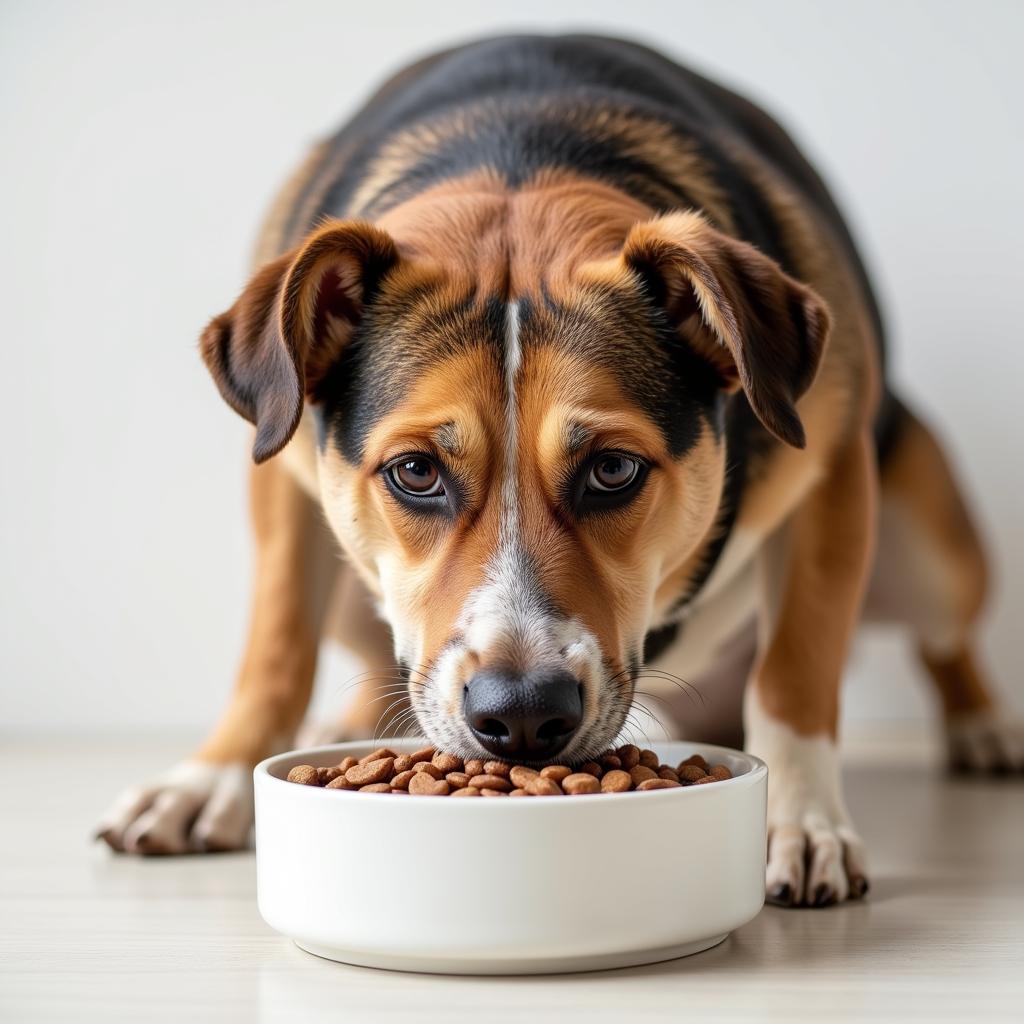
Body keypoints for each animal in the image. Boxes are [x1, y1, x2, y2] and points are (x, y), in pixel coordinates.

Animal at [94, 36, 1015, 909]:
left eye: (612, 469)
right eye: (415, 472)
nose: (524, 714)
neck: (521, 150)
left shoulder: (833, 476)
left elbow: (796, 669)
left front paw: (803, 824)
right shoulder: (281, 483)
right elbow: (275, 642)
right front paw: (209, 780)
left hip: (933, 552)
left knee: (944, 638)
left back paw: (986, 727)